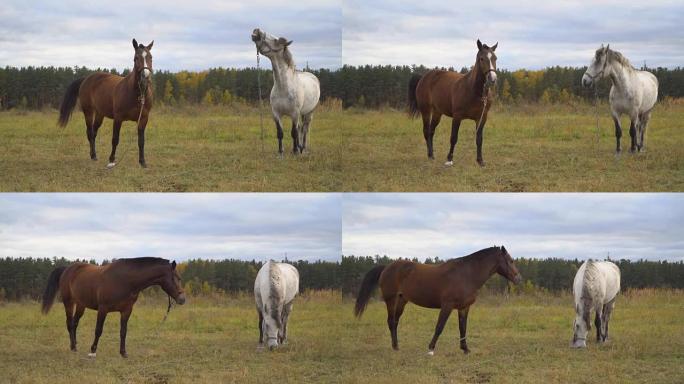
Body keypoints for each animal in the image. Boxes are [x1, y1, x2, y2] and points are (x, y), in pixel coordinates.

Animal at [41, 256, 186, 358]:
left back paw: (75, 346)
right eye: (176, 278)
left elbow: (123, 331)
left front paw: (123, 353)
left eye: (180, 278)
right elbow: (98, 330)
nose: (182, 299)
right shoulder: (103, 309)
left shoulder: (126, 311)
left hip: (81, 304)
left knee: (75, 324)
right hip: (69, 302)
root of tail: (66, 269)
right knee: (69, 323)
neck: (125, 280)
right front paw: (92, 351)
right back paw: (72, 346)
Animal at [58, 38, 155, 168]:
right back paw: (93, 155)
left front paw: (142, 162)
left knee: (94, 132)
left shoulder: (143, 119)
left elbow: (141, 141)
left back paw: (93, 155)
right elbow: (115, 139)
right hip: (88, 112)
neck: (137, 94)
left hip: (100, 114)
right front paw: (111, 160)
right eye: (136, 58)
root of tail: (86, 79)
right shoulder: (118, 118)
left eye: (150, 57)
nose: (145, 78)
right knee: (89, 132)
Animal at [251, 27, 320, 155]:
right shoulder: (276, 114)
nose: (257, 31)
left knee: (305, 129)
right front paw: (281, 151)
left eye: (276, 40)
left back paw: (303, 148)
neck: (283, 87)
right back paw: (300, 147)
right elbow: (280, 133)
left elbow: (293, 132)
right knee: (300, 128)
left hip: (309, 112)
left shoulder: (294, 114)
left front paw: (295, 151)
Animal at [356, 248, 520, 356]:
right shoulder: (447, 306)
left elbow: (463, 328)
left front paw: (465, 349)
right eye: (510, 261)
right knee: (391, 321)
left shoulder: (464, 307)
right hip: (391, 300)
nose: (518, 278)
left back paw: (396, 345)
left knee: (395, 321)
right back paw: (395, 347)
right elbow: (439, 327)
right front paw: (431, 349)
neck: (466, 275)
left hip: (402, 300)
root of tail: (386, 267)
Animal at [408, 39, 500, 167]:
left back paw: (432, 154)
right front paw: (449, 159)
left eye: (495, 58)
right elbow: (453, 137)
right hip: (425, 110)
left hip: (437, 113)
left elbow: (479, 139)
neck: (474, 91)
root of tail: (423, 77)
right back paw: (430, 155)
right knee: (426, 131)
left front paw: (480, 160)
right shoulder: (457, 117)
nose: (492, 79)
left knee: (431, 131)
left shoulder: (482, 118)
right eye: (482, 58)